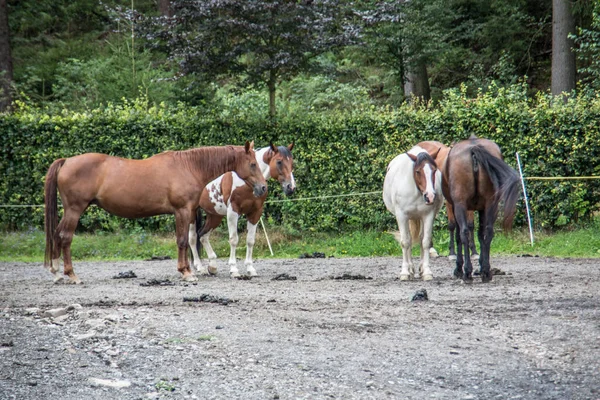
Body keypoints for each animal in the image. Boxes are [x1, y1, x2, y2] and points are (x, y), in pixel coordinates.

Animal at [43, 141, 266, 284]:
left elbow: (184, 240)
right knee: (65, 237)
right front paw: (186, 272)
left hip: (70, 211)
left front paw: (186, 270)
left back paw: (56, 273)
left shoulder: (185, 212)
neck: (189, 166)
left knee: (56, 234)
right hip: (75, 210)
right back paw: (71, 275)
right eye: (252, 164)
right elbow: (182, 241)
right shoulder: (182, 211)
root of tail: (67, 161)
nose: (263, 188)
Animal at [188, 144, 296, 278]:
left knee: (202, 235)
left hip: (215, 215)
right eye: (279, 161)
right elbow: (234, 240)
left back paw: (212, 266)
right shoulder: (233, 212)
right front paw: (234, 269)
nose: (291, 187)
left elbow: (250, 241)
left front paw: (250, 268)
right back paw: (200, 267)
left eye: (292, 162)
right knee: (193, 238)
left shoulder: (255, 213)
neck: (247, 183)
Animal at [384, 145, 440, 282]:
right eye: (418, 171)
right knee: (408, 240)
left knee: (420, 238)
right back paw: (410, 269)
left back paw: (420, 269)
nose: (430, 196)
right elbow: (405, 242)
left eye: (434, 170)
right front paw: (405, 272)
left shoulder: (428, 216)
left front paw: (427, 272)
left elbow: (425, 242)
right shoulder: (402, 216)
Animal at [442, 136, 524, 282]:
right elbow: (481, 235)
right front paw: (481, 266)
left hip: (460, 206)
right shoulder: (482, 209)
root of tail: (474, 148)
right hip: (491, 205)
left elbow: (459, 236)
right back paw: (486, 271)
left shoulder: (457, 207)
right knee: (488, 232)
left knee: (464, 233)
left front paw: (459, 268)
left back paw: (467, 273)